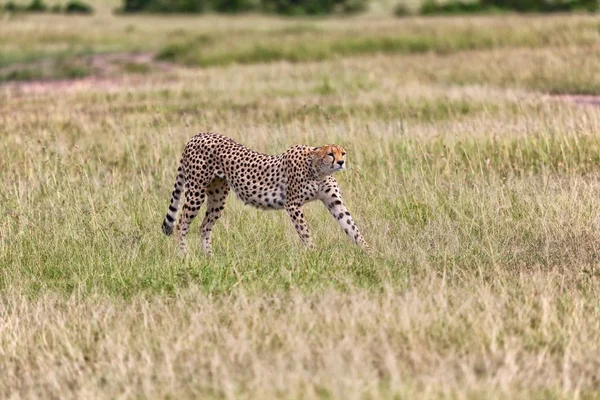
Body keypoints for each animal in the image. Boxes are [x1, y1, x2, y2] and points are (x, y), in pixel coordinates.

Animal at [163, 133, 370, 255]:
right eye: (330, 154)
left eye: (343, 153)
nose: (341, 162)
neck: (318, 171)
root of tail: (198, 135)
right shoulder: (292, 204)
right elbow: (305, 230)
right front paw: (313, 253)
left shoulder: (334, 202)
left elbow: (351, 226)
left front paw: (369, 253)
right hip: (196, 191)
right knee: (181, 223)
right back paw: (184, 256)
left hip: (218, 195)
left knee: (204, 226)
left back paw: (210, 258)